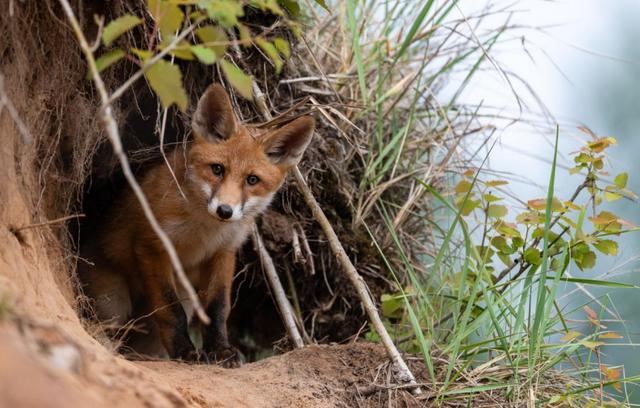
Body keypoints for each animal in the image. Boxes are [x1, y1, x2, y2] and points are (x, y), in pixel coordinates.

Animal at [80, 83, 316, 366]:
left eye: (252, 180)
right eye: (217, 169)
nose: (225, 210)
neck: (205, 231)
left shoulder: (223, 252)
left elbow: (218, 308)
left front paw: (220, 350)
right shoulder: (153, 246)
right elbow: (171, 311)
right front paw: (186, 351)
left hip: (180, 298)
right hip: (113, 301)